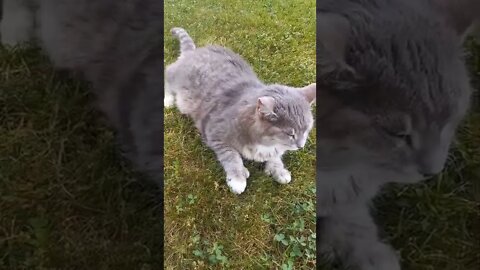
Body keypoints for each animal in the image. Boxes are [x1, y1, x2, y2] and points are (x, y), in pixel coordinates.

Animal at [163, 28, 316, 194]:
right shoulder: (216, 134)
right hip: (177, 79)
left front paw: (279, 170)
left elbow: (276, 156)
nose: (300, 146)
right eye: (290, 134)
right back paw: (168, 99)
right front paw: (238, 177)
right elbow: (231, 156)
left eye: (307, 130)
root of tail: (194, 51)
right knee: (167, 72)